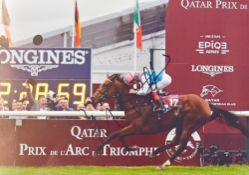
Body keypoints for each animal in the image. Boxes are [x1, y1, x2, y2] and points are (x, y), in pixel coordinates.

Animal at [90, 74, 248, 170]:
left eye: (105, 86)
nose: (92, 99)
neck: (135, 102)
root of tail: (207, 104)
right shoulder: (132, 126)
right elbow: (120, 136)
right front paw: (133, 148)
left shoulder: (137, 126)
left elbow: (115, 134)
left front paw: (97, 150)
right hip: (179, 124)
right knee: (176, 141)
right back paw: (156, 152)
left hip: (190, 123)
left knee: (182, 144)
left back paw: (164, 164)